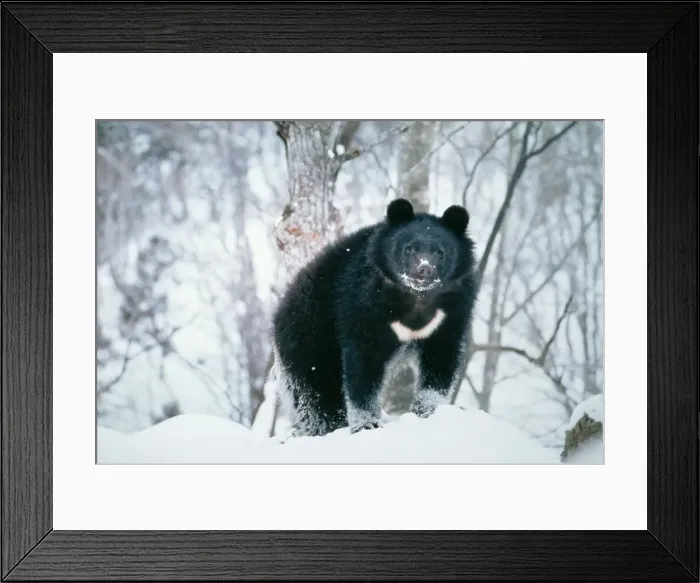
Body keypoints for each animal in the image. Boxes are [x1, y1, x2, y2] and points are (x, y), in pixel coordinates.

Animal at [271, 198, 479, 437]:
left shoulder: (451, 313)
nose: (424, 270)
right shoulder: (362, 305)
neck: (416, 297)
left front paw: (429, 410)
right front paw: (367, 424)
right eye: (408, 249)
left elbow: (441, 358)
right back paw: (323, 427)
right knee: (315, 392)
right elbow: (363, 364)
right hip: (308, 338)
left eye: (440, 252)